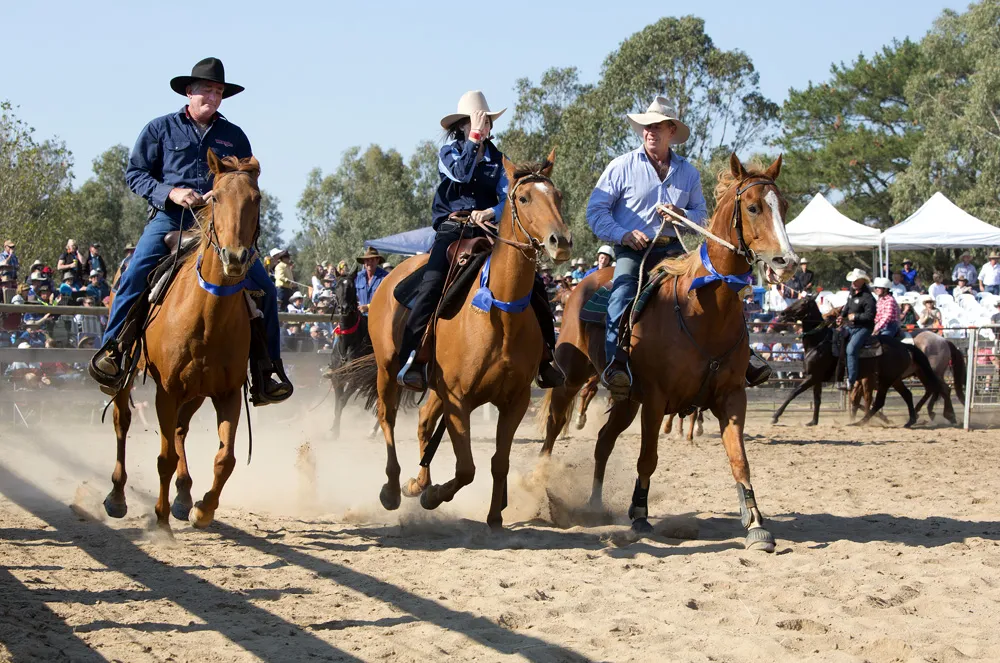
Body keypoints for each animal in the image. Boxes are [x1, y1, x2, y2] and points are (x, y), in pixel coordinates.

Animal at [103, 153, 262, 532]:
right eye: (215, 197)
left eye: (257, 199)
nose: (235, 257)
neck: (206, 316)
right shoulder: (167, 390)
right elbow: (164, 457)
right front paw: (161, 522)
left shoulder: (227, 393)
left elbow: (226, 458)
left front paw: (203, 508)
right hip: (128, 377)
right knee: (122, 420)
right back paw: (117, 496)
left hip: (196, 391)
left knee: (180, 429)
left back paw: (185, 495)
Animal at [338, 153, 568, 532]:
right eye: (523, 198)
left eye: (558, 196)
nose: (559, 241)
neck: (499, 314)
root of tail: (390, 278)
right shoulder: (459, 400)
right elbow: (467, 468)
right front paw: (434, 496)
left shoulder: (515, 401)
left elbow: (498, 462)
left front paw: (494, 517)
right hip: (388, 370)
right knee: (387, 418)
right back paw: (393, 489)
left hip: (433, 385)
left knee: (423, 422)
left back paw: (418, 483)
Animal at [540, 154, 796, 548]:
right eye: (753, 207)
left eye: (782, 206)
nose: (787, 261)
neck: (703, 310)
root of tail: (580, 286)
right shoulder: (657, 399)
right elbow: (648, 458)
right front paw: (640, 515)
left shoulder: (732, 396)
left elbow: (740, 459)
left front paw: (755, 523)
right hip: (572, 376)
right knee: (554, 427)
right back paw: (540, 490)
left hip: (627, 398)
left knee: (603, 441)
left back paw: (595, 505)